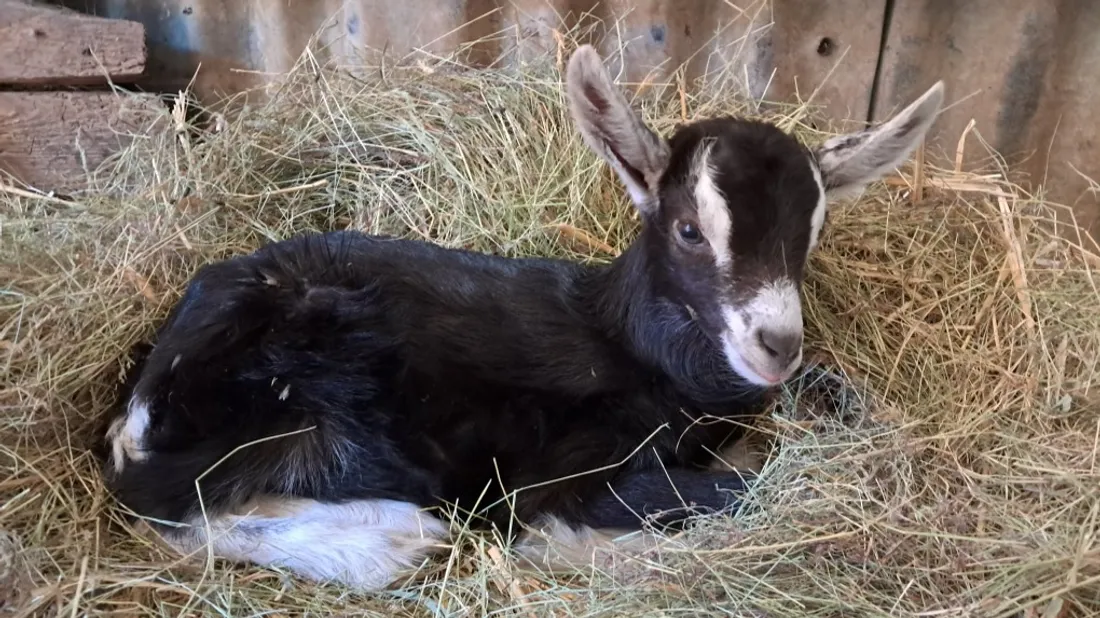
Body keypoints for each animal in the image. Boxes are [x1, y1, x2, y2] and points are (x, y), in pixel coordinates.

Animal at [101, 45, 944, 590]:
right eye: (689, 230)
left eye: (811, 234)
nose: (777, 344)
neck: (629, 349)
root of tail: (140, 404)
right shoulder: (566, 470)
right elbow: (716, 493)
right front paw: (569, 545)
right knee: (174, 512)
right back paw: (392, 539)